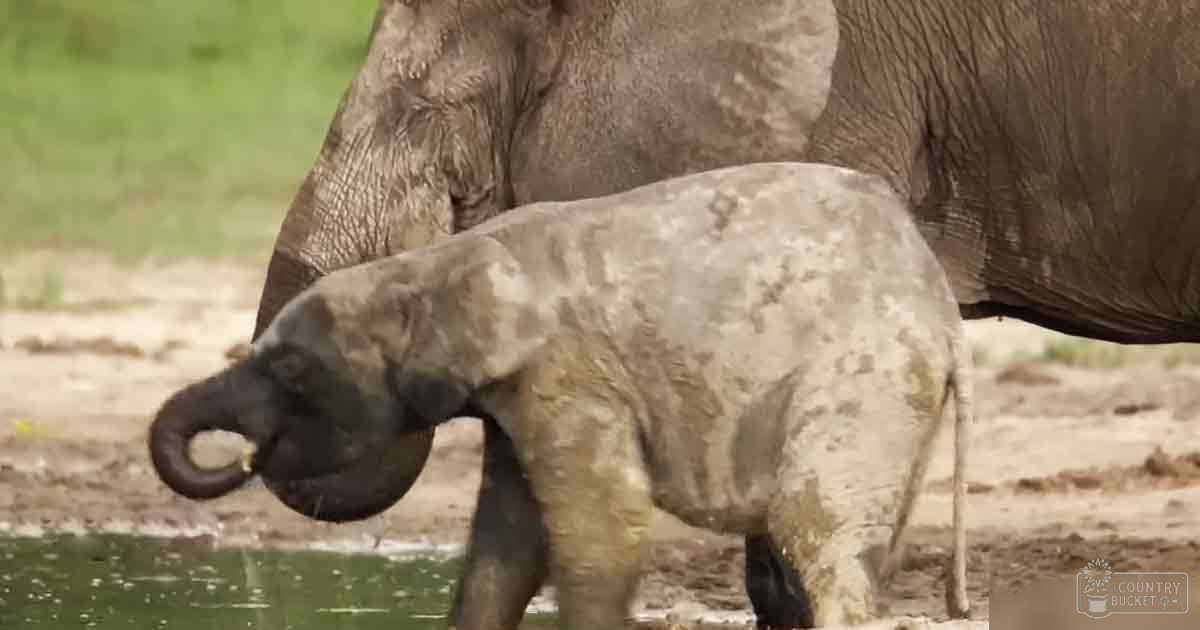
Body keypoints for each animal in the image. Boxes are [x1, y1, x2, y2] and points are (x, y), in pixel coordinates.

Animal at [150, 163, 973, 628]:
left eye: (291, 370)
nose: (243, 457)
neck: (433, 265)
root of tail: (943, 312)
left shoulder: (569, 373)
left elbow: (600, 533)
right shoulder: (521, 395)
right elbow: (507, 546)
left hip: (863, 377)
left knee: (818, 531)